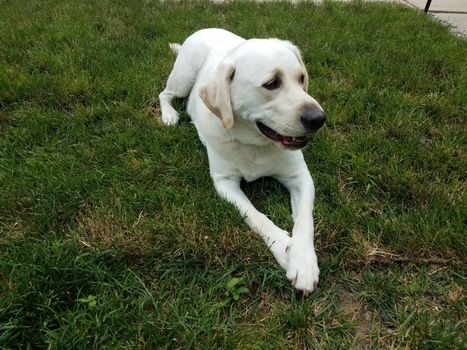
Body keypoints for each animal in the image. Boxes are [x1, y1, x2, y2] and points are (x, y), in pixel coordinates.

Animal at [159, 28, 328, 294]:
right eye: (271, 84)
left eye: (302, 78)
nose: (318, 118)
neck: (255, 144)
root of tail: (203, 29)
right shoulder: (225, 183)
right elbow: (256, 217)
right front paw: (284, 246)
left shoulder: (300, 176)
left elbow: (304, 219)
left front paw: (303, 261)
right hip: (183, 77)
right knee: (164, 94)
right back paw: (168, 115)